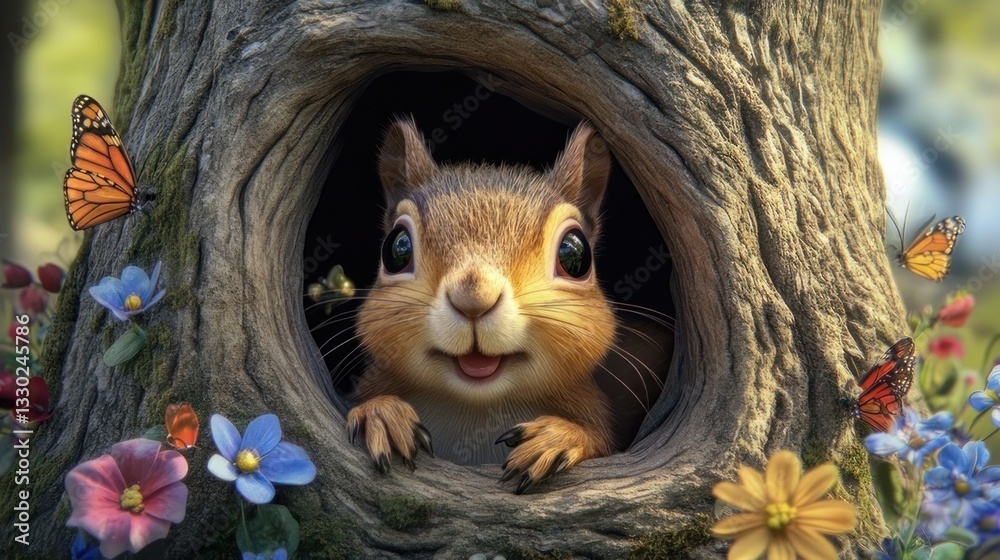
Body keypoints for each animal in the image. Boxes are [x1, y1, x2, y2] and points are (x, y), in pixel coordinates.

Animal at [346, 118, 619, 494]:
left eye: (575, 255)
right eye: (395, 248)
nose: (473, 299)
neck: (475, 408)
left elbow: (598, 440)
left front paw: (557, 438)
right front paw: (382, 414)